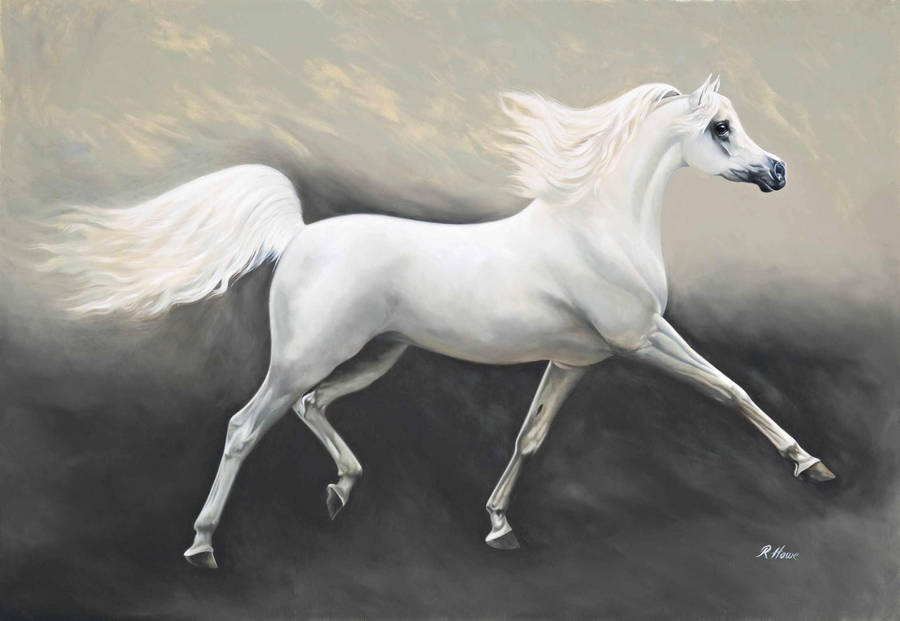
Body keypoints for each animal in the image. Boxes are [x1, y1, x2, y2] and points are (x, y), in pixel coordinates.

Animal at [39, 75, 835, 570]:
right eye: (721, 127)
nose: (779, 171)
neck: (598, 227)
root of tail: (298, 236)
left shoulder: (574, 361)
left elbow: (530, 437)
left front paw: (499, 526)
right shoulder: (640, 339)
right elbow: (730, 390)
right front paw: (811, 465)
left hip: (375, 355)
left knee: (310, 406)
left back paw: (341, 490)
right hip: (306, 355)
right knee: (246, 423)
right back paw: (203, 545)